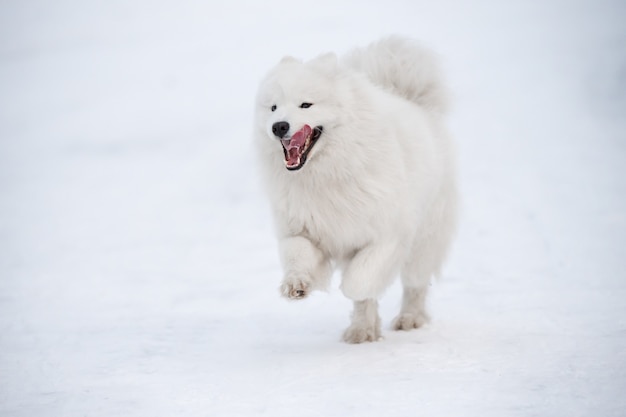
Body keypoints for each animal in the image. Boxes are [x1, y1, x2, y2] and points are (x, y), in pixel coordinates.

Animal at [255, 36, 458, 342]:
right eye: (273, 108)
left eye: (306, 105)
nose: (279, 126)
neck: (325, 175)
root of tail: (413, 102)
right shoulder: (301, 229)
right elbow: (296, 254)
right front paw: (296, 284)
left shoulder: (386, 237)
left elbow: (359, 280)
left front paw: (353, 290)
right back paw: (362, 331)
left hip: (426, 240)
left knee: (415, 284)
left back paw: (408, 319)